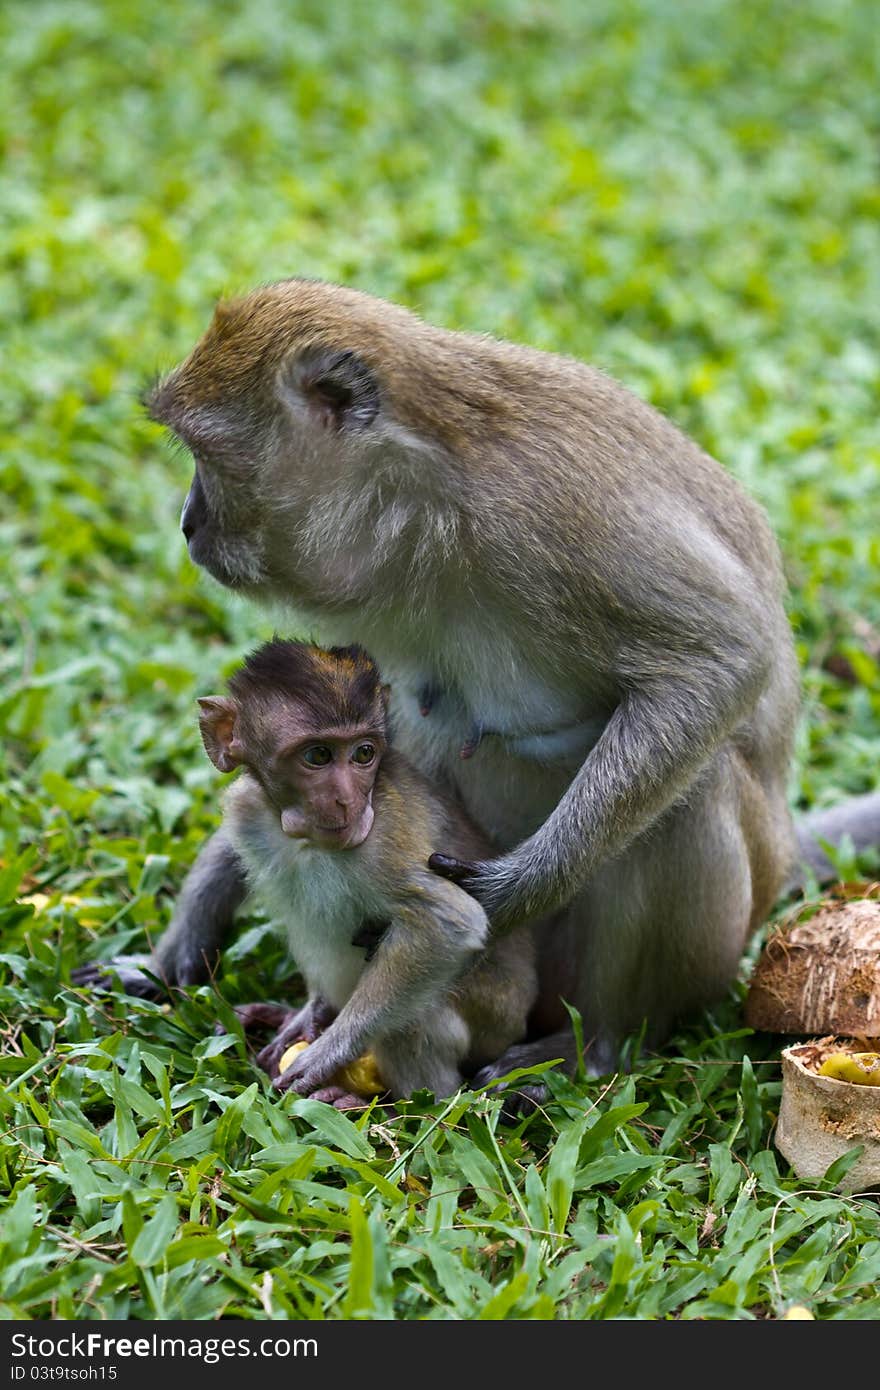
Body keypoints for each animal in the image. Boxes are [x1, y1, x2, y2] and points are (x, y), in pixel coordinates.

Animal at [77, 282, 878, 1078]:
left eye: (206, 455)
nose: (188, 523)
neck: (427, 501)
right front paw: (178, 946)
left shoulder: (550, 512)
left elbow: (722, 659)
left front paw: (519, 887)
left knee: (693, 788)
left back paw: (600, 1042)